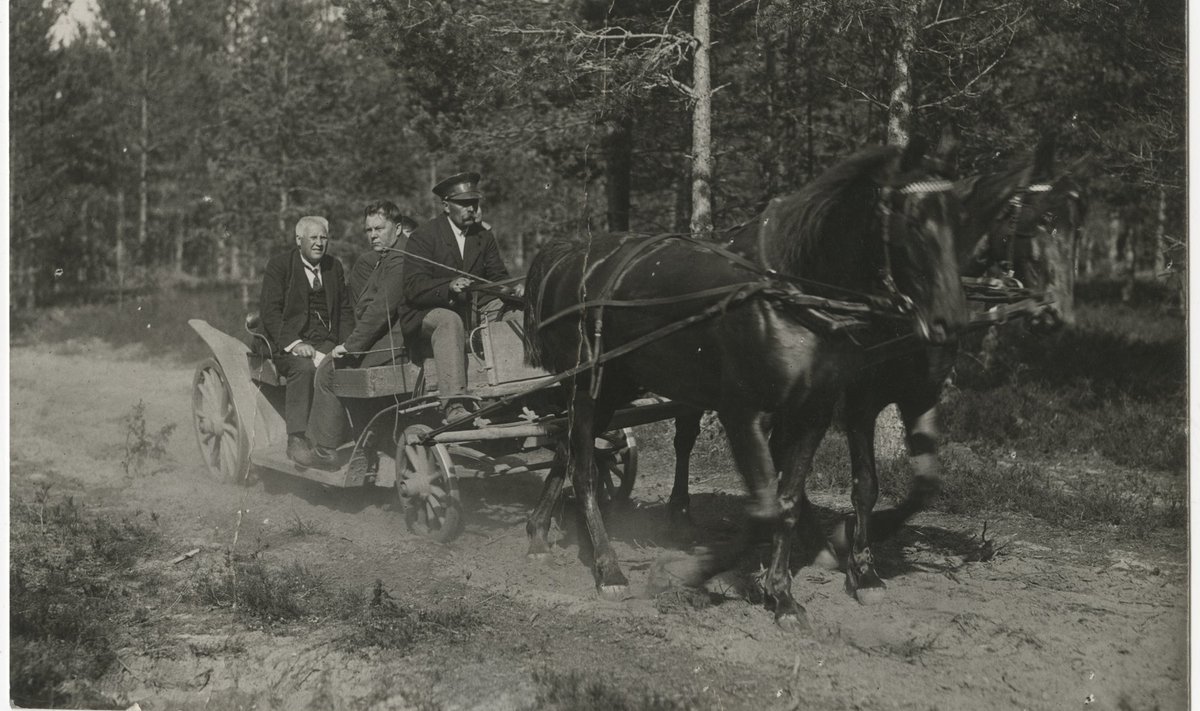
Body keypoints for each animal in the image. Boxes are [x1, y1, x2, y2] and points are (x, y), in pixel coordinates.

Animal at [523, 137, 964, 629]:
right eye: (911, 219)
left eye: (958, 218)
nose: (950, 322)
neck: (788, 293)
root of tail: (568, 254)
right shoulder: (745, 412)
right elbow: (767, 507)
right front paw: (696, 574)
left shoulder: (814, 412)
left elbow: (788, 503)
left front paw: (784, 594)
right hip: (587, 387)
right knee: (582, 471)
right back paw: (608, 568)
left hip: (616, 389)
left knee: (566, 451)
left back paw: (539, 534)